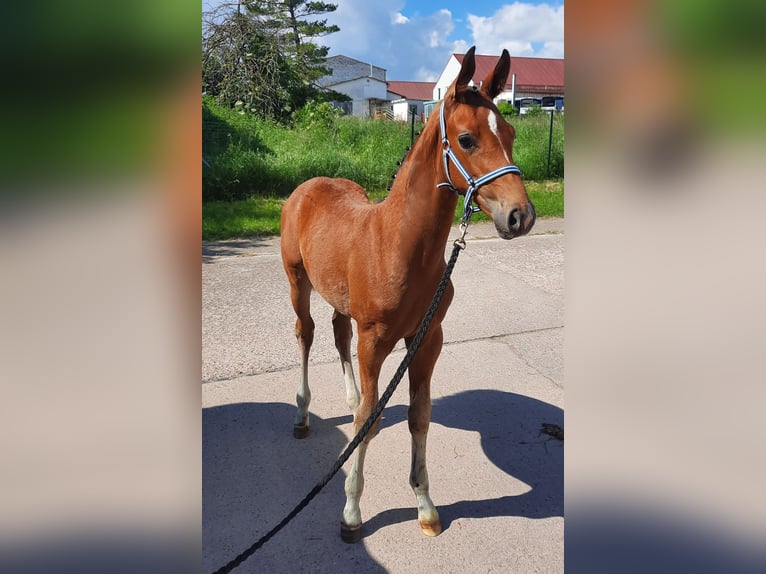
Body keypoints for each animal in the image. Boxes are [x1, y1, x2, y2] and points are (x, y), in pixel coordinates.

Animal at [280, 46, 536, 544]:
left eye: (511, 133)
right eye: (466, 139)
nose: (521, 216)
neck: (399, 246)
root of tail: (311, 184)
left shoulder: (427, 339)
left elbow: (418, 415)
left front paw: (425, 505)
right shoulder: (375, 340)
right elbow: (368, 419)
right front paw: (351, 513)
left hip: (341, 302)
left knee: (338, 335)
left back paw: (347, 398)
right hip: (297, 280)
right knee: (307, 333)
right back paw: (301, 415)